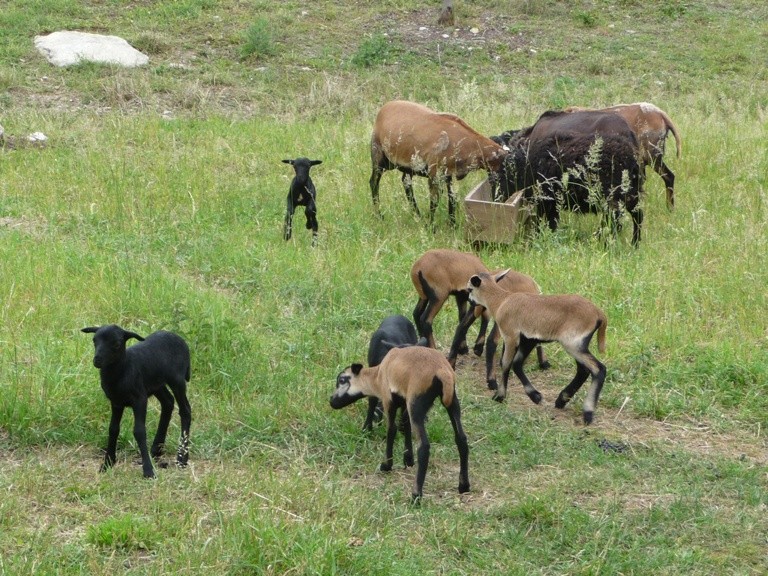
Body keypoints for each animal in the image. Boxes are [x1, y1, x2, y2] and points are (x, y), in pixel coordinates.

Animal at [81, 324, 192, 476]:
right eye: (94, 341)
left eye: (117, 343)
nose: (97, 360)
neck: (123, 370)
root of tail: (179, 339)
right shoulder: (116, 402)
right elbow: (113, 429)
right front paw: (107, 463)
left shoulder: (140, 399)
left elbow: (139, 431)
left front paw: (148, 471)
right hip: (156, 383)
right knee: (168, 402)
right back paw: (155, 450)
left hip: (177, 380)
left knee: (185, 410)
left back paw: (182, 458)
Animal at [332, 344, 472, 502]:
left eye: (342, 380)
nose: (332, 401)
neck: (377, 376)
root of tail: (442, 371)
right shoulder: (404, 401)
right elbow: (405, 425)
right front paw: (408, 459)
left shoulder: (388, 399)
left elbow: (392, 430)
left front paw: (386, 465)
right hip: (452, 400)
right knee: (461, 439)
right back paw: (464, 486)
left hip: (416, 401)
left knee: (424, 446)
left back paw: (416, 495)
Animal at [368, 99, 508, 225]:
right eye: (503, 172)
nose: (498, 201)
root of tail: (385, 107)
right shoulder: (434, 173)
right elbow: (435, 201)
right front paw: (431, 227)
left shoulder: (449, 174)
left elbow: (452, 198)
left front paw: (452, 225)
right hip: (379, 157)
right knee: (374, 182)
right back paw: (379, 216)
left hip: (408, 166)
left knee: (406, 184)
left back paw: (418, 215)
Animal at [464, 270, 608, 424]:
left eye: (470, 289)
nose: (470, 301)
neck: (501, 301)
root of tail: (599, 314)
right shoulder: (529, 340)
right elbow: (516, 364)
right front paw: (535, 396)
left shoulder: (510, 336)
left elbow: (506, 363)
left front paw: (499, 396)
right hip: (578, 344)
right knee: (583, 370)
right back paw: (561, 400)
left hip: (573, 343)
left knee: (598, 369)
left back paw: (588, 412)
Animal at [498, 110, 640, 245]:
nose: (499, 197)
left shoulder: (546, 199)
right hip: (631, 193)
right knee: (635, 216)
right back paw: (633, 243)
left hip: (611, 196)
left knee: (615, 220)